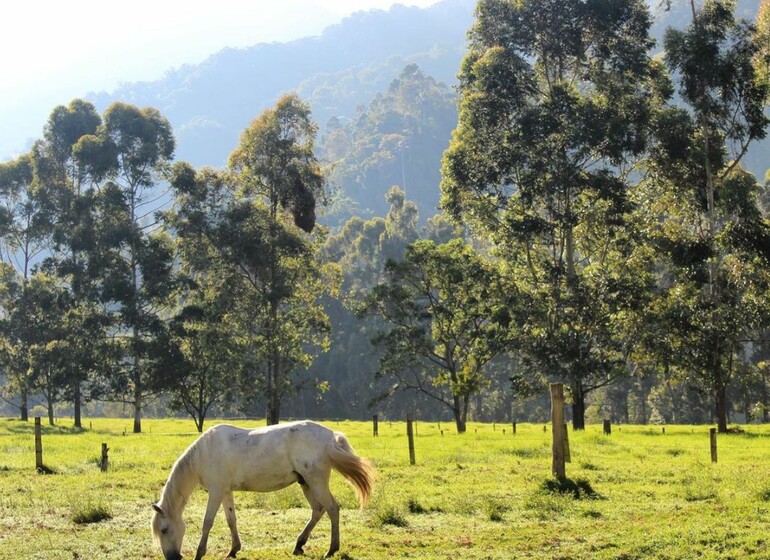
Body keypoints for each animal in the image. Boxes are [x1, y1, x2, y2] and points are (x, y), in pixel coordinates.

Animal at [149, 422, 372, 560]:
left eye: (164, 529)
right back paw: (299, 545)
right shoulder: (225, 491)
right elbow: (231, 519)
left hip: (316, 482)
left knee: (333, 508)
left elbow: (208, 522)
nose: (172, 557)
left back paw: (331, 550)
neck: (204, 453)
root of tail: (331, 437)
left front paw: (200, 552)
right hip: (306, 483)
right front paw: (233, 550)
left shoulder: (216, 491)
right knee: (318, 510)